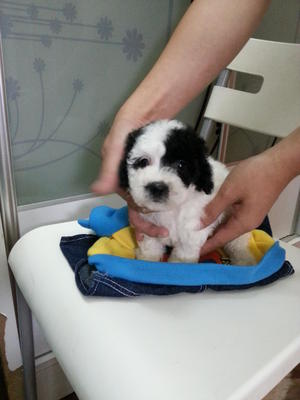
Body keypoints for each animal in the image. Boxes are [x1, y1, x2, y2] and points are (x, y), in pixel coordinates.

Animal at [118, 119, 256, 266]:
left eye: (181, 165)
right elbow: (150, 248)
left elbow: (182, 258)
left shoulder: (192, 232)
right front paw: (146, 261)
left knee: (238, 244)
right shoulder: (148, 227)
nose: (157, 187)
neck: (170, 210)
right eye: (143, 161)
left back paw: (245, 261)